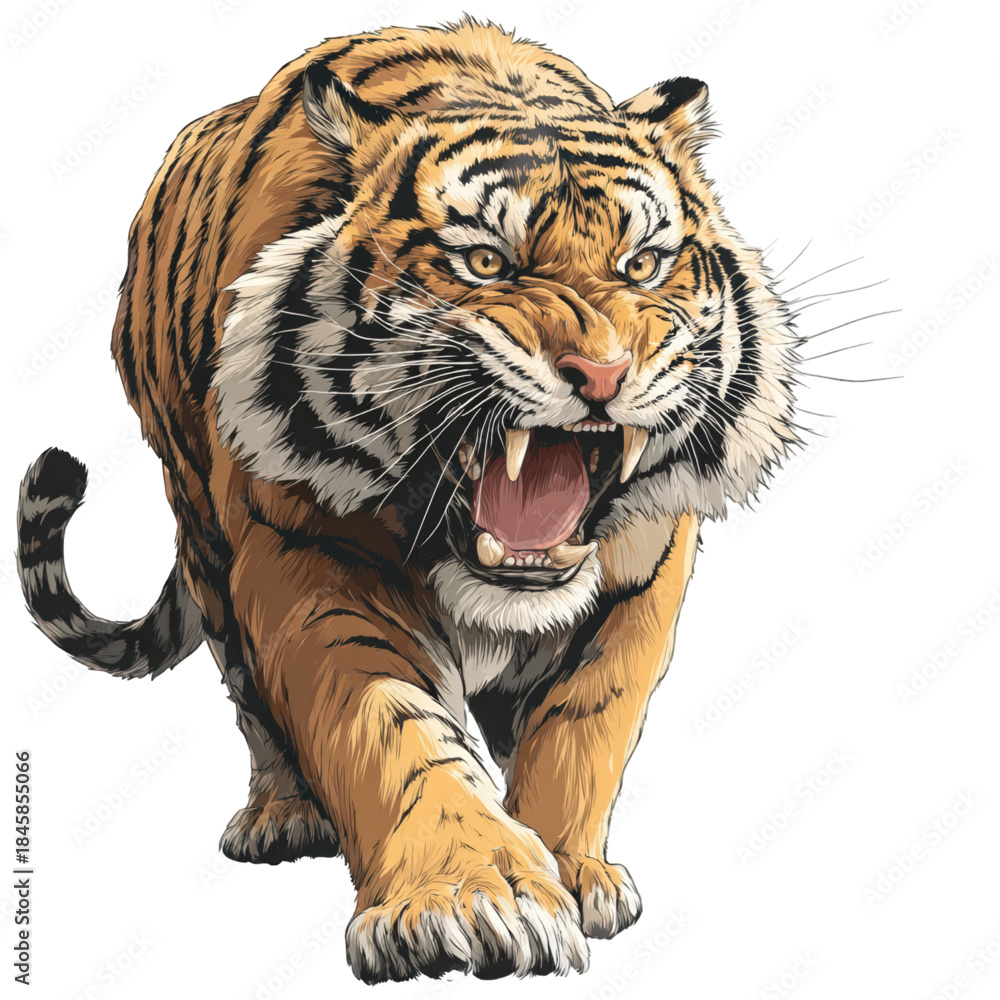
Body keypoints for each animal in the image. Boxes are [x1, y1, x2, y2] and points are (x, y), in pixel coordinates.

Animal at [16, 17, 799, 983]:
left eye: (645, 265)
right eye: (485, 262)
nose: (603, 374)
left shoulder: (642, 572)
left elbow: (585, 727)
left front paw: (571, 873)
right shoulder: (309, 555)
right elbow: (389, 730)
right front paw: (470, 898)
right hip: (197, 521)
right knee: (248, 693)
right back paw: (281, 817)